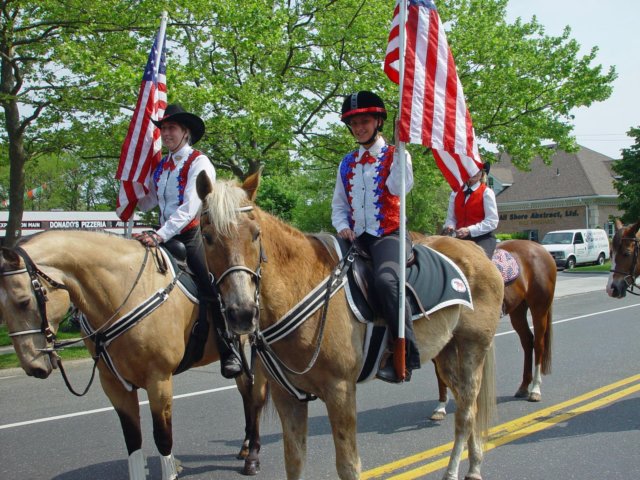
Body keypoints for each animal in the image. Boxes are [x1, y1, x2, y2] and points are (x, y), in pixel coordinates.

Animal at [0, 231, 266, 478]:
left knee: (252, 394)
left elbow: (163, 437)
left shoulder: (158, 379)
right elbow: (133, 439)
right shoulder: (114, 384)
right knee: (245, 393)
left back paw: (250, 452)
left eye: (24, 301)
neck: (124, 292)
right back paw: (245, 446)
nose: (33, 366)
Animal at [195, 172, 504, 480]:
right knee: (468, 406)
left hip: (473, 349)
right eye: (207, 237)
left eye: (256, 234)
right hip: (447, 353)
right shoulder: (287, 397)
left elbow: (348, 466)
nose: (242, 313)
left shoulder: (340, 392)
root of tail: (475, 251)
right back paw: (473, 465)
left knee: (466, 413)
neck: (301, 289)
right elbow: (294, 461)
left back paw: (457, 470)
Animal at [430, 240, 560, 420]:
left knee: (538, 344)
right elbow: (440, 370)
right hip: (518, 310)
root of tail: (540, 248)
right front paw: (441, 406)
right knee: (528, 342)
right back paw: (523, 387)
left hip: (539, 308)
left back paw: (535, 389)